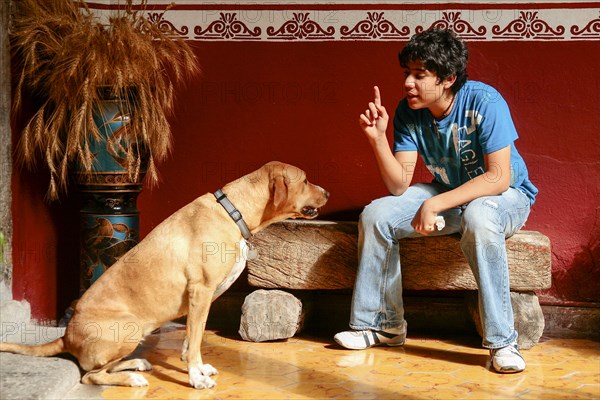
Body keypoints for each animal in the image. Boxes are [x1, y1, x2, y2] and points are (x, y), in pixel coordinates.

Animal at [0, 161, 328, 390]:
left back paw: (135, 364)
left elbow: (193, 337)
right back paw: (131, 378)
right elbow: (195, 341)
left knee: (104, 367)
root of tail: (66, 336)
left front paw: (195, 367)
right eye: (305, 180)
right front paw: (196, 378)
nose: (327, 192)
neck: (233, 211)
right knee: (90, 375)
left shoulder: (203, 299)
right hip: (129, 327)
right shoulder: (201, 290)